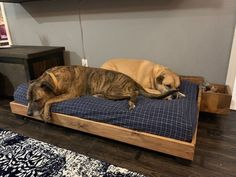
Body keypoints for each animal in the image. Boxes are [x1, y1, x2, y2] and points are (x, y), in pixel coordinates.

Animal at [26, 65, 176, 121]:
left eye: (37, 100)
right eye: (27, 99)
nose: (28, 114)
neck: (54, 79)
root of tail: (132, 80)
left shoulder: (70, 95)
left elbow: (49, 100)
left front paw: (46, 114)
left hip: (113, 90)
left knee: (133, 94)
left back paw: (131, 103)